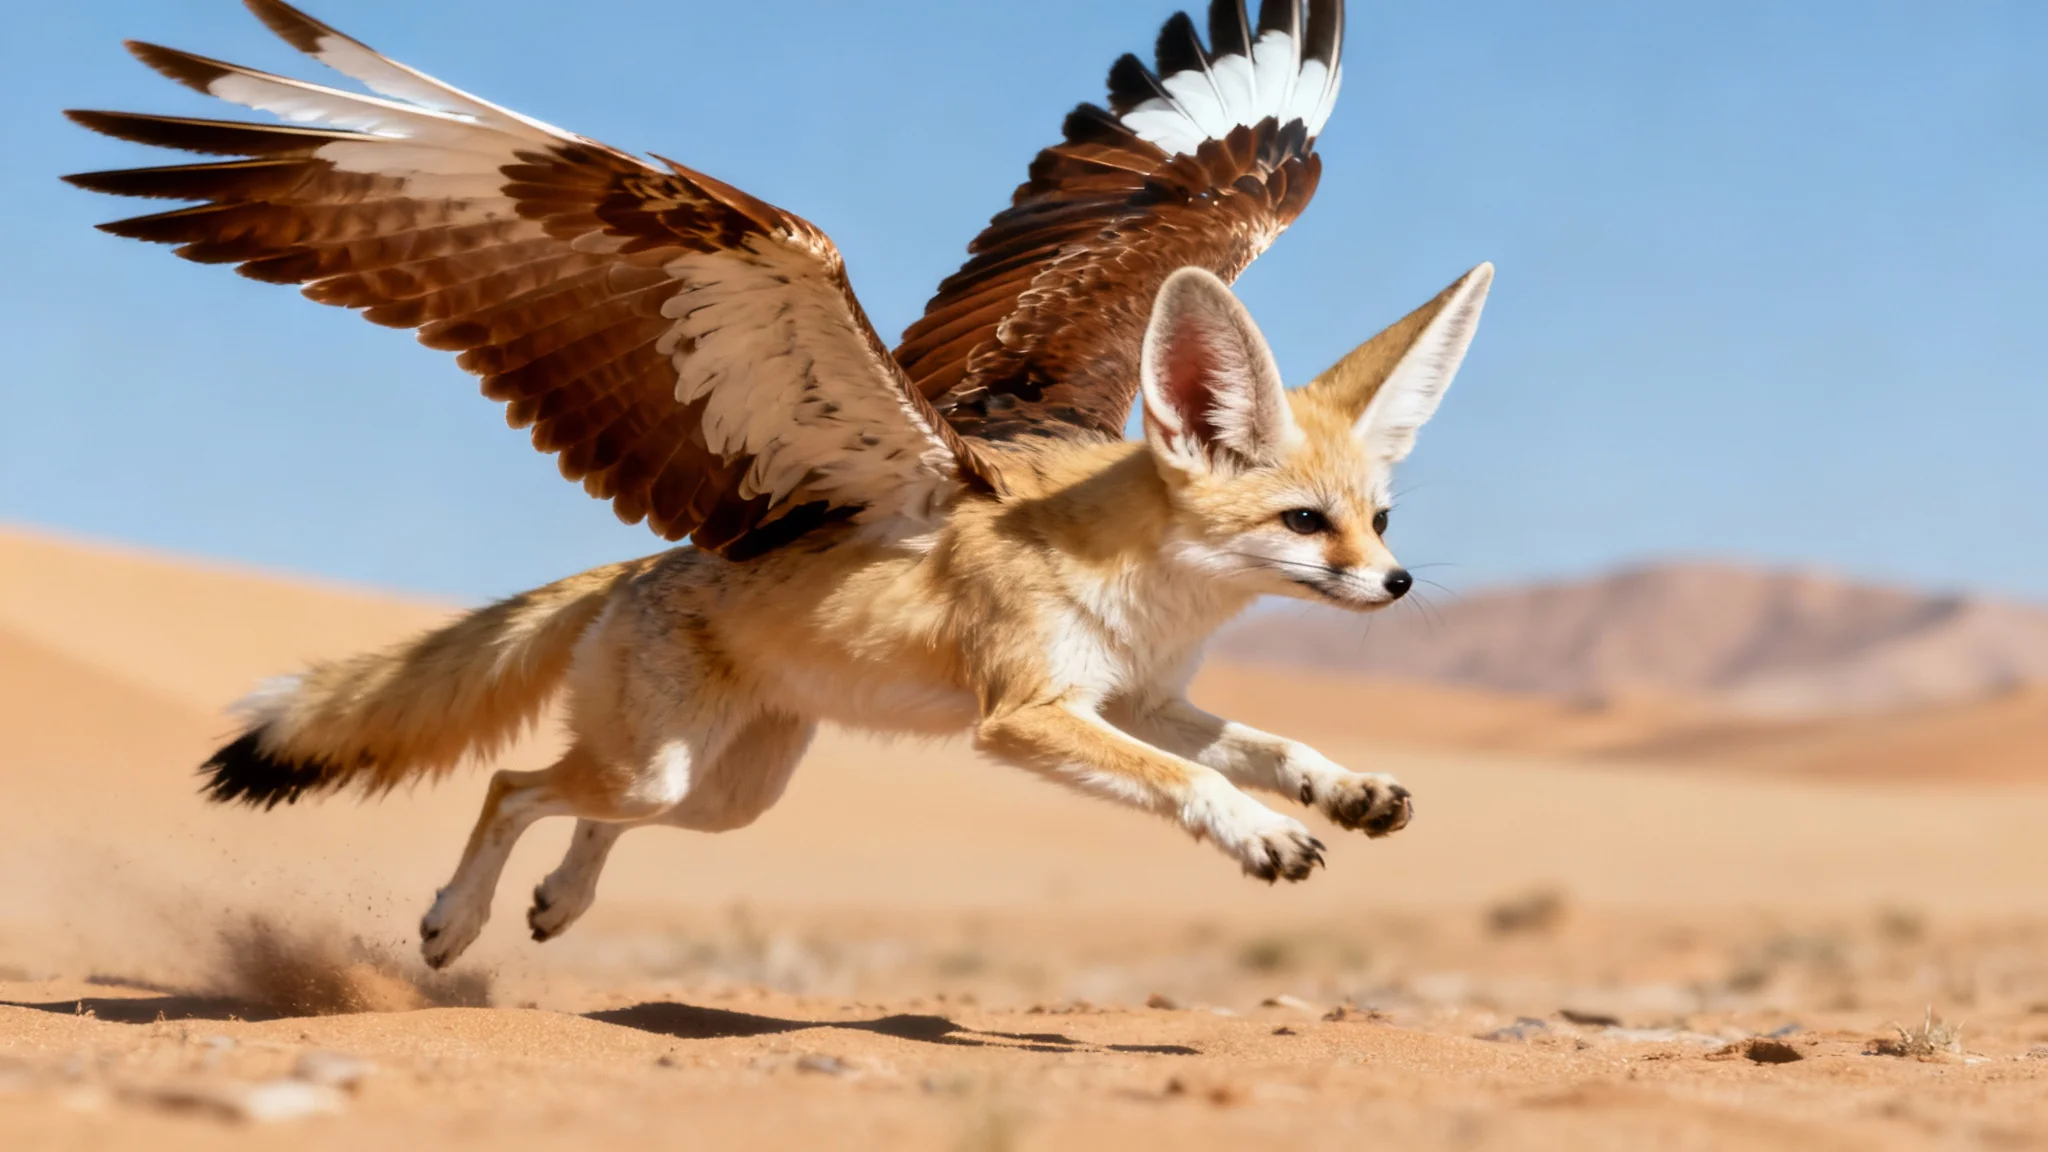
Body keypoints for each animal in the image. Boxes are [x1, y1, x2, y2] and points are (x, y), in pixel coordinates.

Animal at [65, 0, 1494, 969]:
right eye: (1303, 521)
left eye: (1379, 518)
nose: (1394, 585)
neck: (1144, 581)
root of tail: (653, 563)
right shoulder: (1029, 715)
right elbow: (1189, 781)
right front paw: (1260, 833)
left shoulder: (1137, 695)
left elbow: (1265, 743)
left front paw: (1342, 789)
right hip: (670, 768)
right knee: (516, 783)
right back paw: (455, 918)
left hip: (728, 796)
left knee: (585, 808)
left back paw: (557, 901)